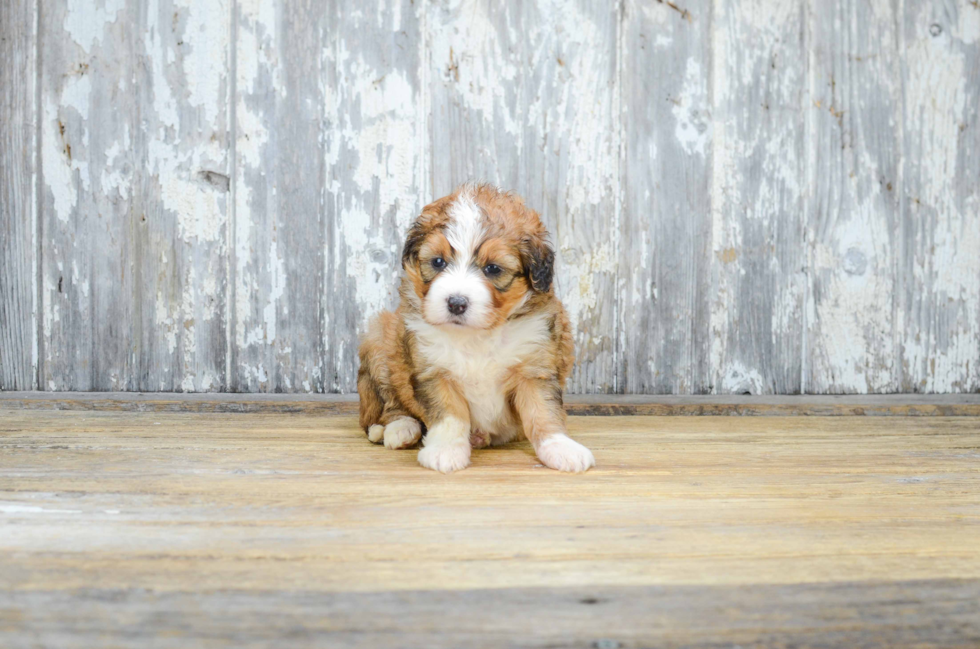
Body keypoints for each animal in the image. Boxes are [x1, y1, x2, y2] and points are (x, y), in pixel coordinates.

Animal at [356, 185, 592, 474]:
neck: (478, 334)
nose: (456, 303)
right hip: (380, 340)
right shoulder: (433, 370)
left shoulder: (535, 367)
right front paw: (445, 450)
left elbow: (543, 410)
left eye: (492, 268)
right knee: (387, 406)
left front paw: (560, 447)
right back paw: (400, 429)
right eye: (438, 262)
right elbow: (450, 414)